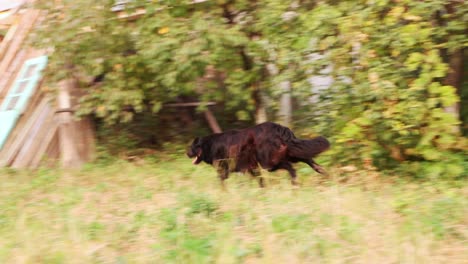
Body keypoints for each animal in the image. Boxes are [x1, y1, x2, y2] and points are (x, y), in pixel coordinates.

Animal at [186, 122, 330, 187]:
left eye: (192, 147)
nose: (186, 153)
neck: (209, 145)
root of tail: (279, 127)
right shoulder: (252, 167)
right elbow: (260, 180)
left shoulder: (224, 169)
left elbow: (221, 181)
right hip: (288, 153)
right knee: (307, 158)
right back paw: (321, 171)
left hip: (269, 162)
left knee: (291, 167)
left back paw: (295, 181)